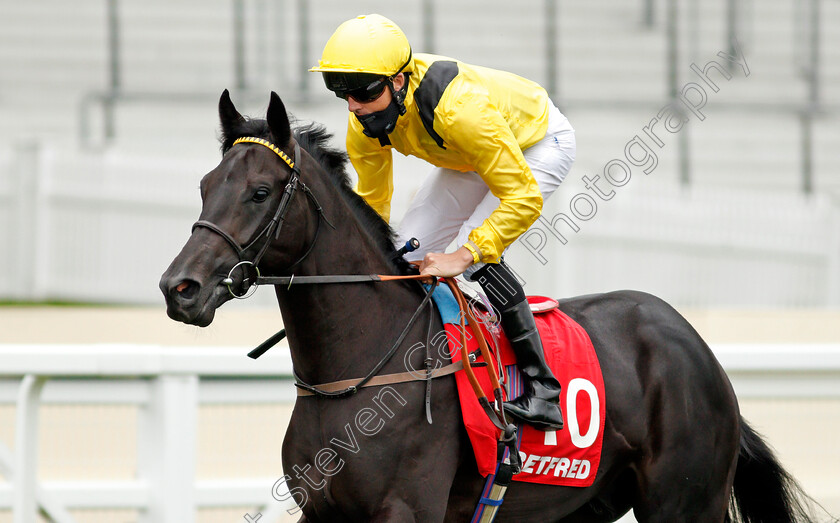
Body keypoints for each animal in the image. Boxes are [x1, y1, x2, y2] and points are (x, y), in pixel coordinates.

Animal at [159, 92, 820, 520]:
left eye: (260, 191)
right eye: (205, 186)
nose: (179, 288)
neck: (357, 374)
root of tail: (699, 349)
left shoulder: (405, 509)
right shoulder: (322, 512)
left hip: (684, 500)